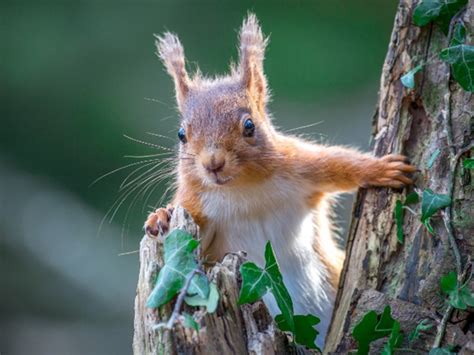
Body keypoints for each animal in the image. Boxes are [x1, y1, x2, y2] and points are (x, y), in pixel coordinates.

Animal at [143, 13, 414, 348]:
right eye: (182, 134)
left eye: (249, 126)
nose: (213, 163)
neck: (244, 190)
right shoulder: (198, 206)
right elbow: (191, 237)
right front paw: (161, 217)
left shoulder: (302, 167)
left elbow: (339, 164)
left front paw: (380, 169)